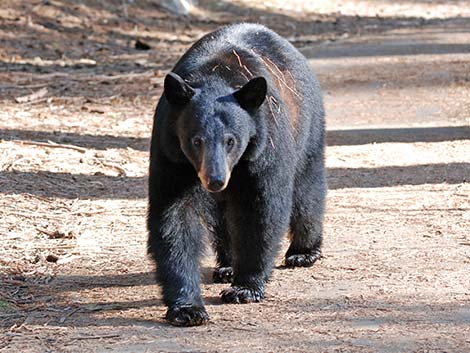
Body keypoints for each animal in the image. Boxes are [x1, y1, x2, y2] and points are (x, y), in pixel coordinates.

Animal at [149, 23, 324, 326]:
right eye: (196, 141)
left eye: (231, 140)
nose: (215, 180)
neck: (215, 77)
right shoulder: (171, 152)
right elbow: (174, 217)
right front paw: (186, 308)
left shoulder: (264, 146)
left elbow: (261, 209)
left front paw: (245, 288)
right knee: (223, 215)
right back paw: (228, 265)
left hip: (308, 126)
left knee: (306, 189)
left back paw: (303, 252)